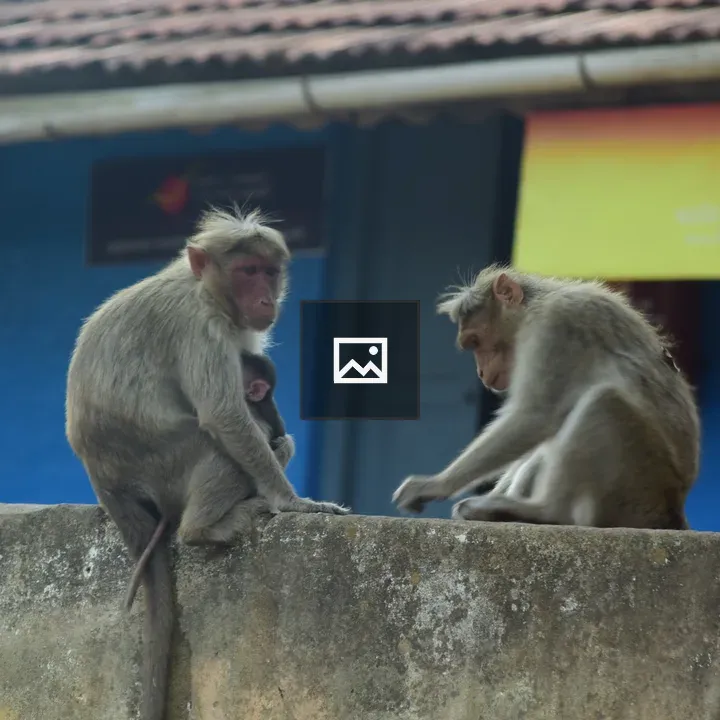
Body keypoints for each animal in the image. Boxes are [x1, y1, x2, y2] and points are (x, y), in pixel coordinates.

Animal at [392, 264, 699, 530]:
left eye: (476, 341)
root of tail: (674, 510)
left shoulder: (557, 323)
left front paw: (436, 484)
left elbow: (536, 414)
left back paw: (546, 511)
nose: (480, 371)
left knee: (603, 403)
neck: (535, 307)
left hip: (639, 489)